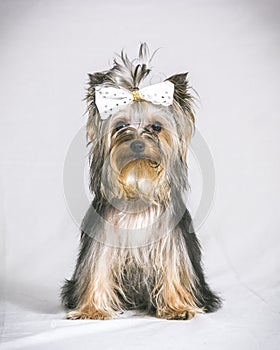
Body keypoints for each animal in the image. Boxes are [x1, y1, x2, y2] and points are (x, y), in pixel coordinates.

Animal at [61, 43, 221, 320]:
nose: (137, 143)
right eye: (120, 126)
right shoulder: (103, 240)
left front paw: (177, 307)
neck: (138, 185)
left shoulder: (171, 243)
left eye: (156, 127)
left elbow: (173, 270)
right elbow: (97, 270)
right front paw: (92, 309)